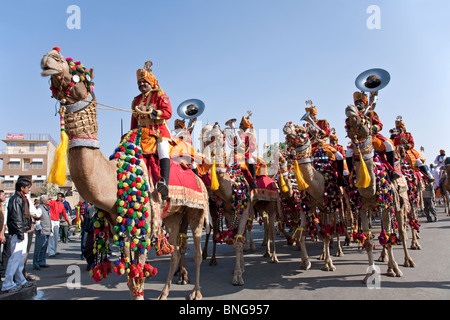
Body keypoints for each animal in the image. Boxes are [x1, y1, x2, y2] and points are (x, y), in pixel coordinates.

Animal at [39, 47, 209, 300]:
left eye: (78, 73)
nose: (50, 57)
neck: (114, 179)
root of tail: (197, 176)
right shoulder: (123, 230)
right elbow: (131, 281)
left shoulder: (142, 228)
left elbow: (138, 279)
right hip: (173, 215)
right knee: (176, 251)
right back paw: (164, 293)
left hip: (196, 211)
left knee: (196, 251)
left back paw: (196, 292)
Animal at [346, 104, 416, 282]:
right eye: (347, 123)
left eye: (366, 118)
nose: (350, 108)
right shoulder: (363, 208)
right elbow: (368, 241)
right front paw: (369, 274)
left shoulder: (387, 205)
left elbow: (391, 238)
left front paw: (396, 269)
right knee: (385, 233)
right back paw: (385, 260)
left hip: (399, 204)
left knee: (400, 232)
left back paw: (407, 261)